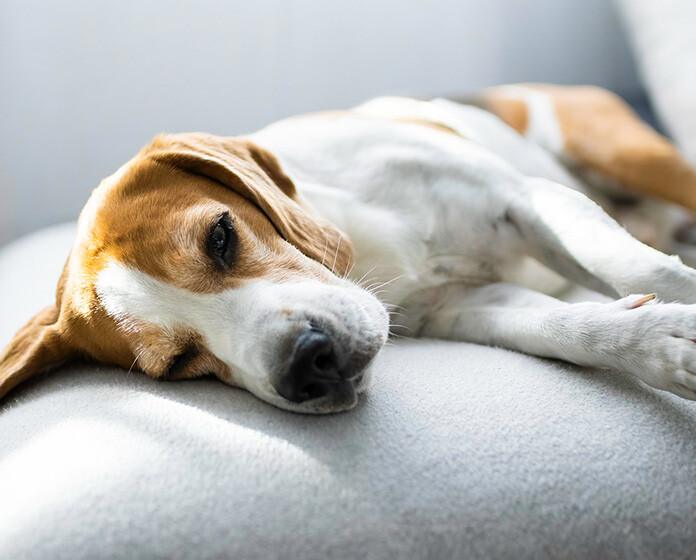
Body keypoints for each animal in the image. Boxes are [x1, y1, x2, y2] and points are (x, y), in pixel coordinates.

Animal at [4, 84, 696, 416]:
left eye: (220, 236)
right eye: (178, 365)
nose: (308, 365)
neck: (367, 253)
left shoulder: (524, 198)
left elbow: (637, 265)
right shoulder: (462, 307)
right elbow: (567, 327)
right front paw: (657, 344)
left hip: (623, 154)